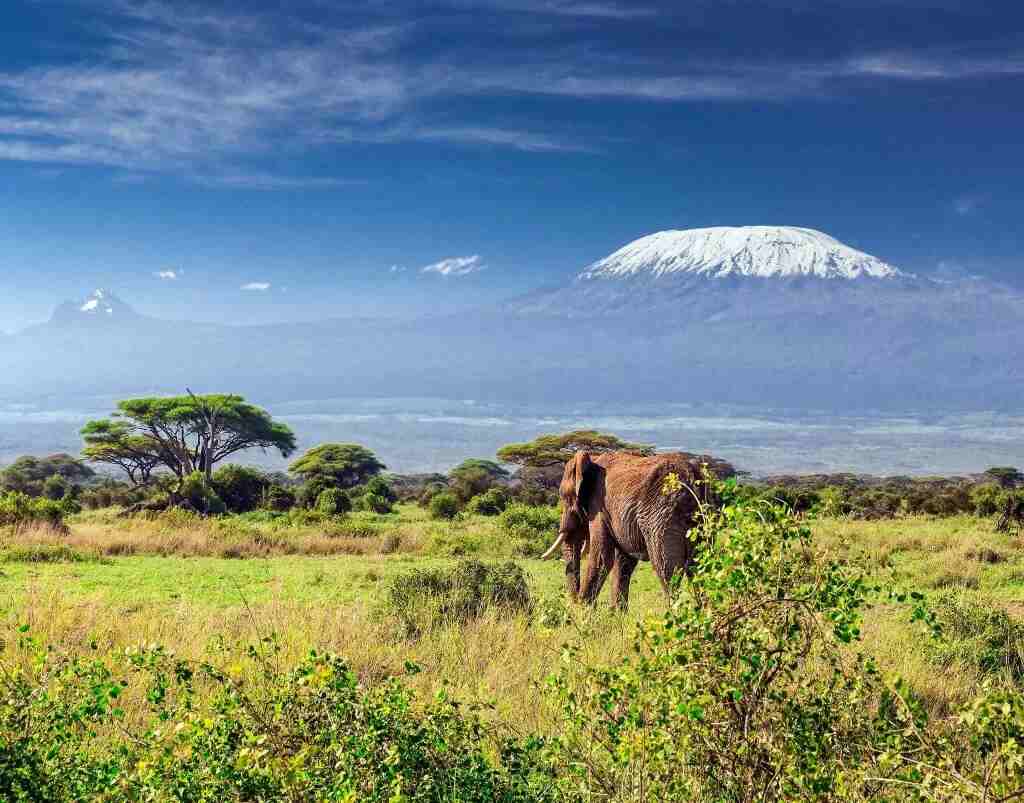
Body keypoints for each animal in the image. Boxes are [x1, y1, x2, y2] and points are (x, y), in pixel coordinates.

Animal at [540, 450, 733, 610]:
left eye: (565, 497)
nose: (573, 604)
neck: (592, 459)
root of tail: (693, 478)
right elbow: (623, 562)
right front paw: (616, 617)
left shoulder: (599, 508)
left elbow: (602, 557)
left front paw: (584, 611)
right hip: (704, 517)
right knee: (701, 567)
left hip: (662, 517)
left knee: (666, 569)